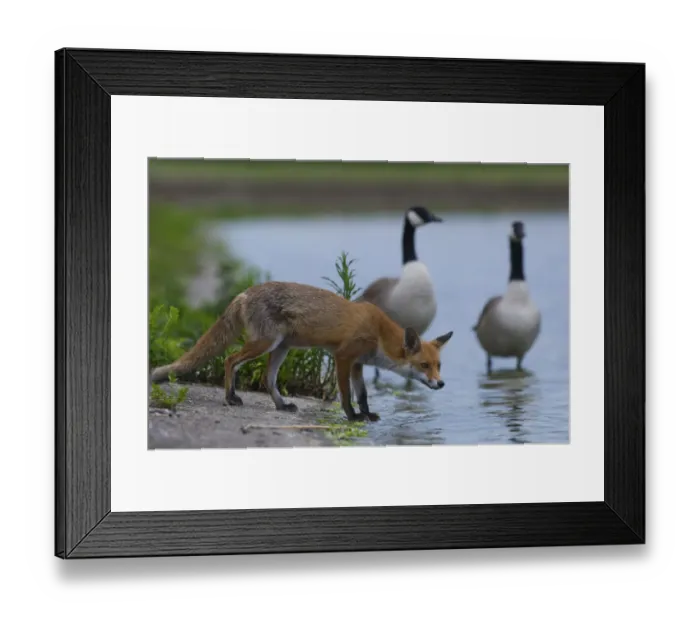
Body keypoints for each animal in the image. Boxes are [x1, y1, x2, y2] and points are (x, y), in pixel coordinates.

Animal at [150, 281, 453, 421]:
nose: (441, 384)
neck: (379, 332)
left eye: (439, 365)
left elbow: (364, 394)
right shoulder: (343, 357)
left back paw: (281, 405)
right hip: (265, 344)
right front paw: (353, 416)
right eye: (425, 365)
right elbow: (346, 395)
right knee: (229, 360)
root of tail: (245, 292)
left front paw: (367, 415)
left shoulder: (358, 364)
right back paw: (230, 397)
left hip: (281, 348)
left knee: (267, 379)